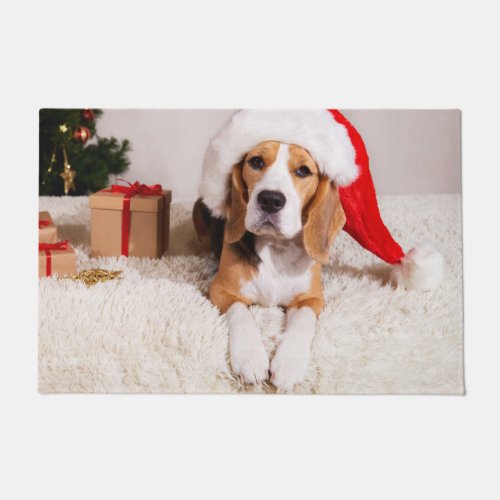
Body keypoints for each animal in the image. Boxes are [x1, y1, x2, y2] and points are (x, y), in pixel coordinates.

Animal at [195, 140, 348, 390]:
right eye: (256, 161)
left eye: (303, 171)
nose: (270, 200)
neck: (276, 247)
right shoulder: (221, 290)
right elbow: (241, 313)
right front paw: (250, 357)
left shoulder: (312, 298)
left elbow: (304, 321)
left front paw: (289, 364)